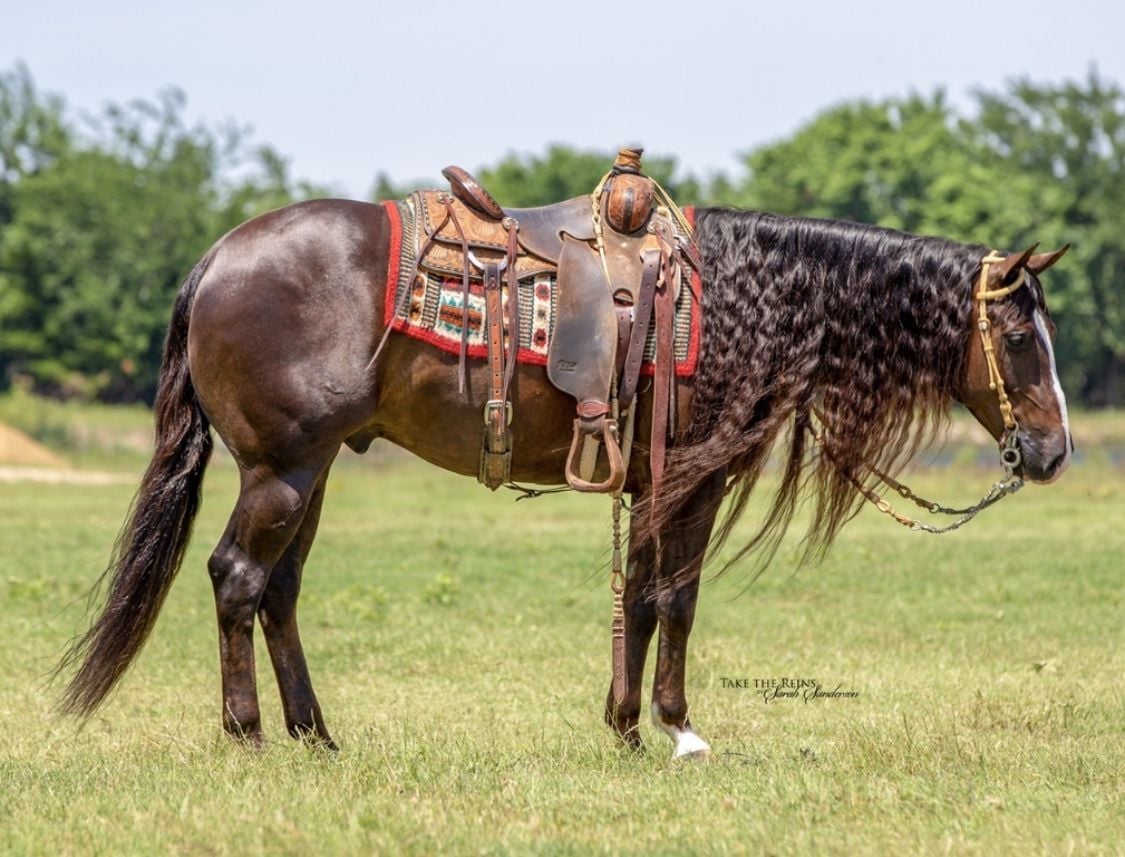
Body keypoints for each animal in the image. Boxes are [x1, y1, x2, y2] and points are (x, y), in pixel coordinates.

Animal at [59, 195, 1071, 755]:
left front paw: (623, 723)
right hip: (280, 467)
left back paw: (316, 734)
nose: (1054, 451)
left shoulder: (653, 482)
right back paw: (249, 734)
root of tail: (217, 257)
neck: (736, 299)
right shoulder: (690, 480)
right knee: (237, 578)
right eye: (1020, 335)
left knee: (277, 590)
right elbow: (674, 597)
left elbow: (642, 593)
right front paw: (675, 726)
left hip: (309, 471)